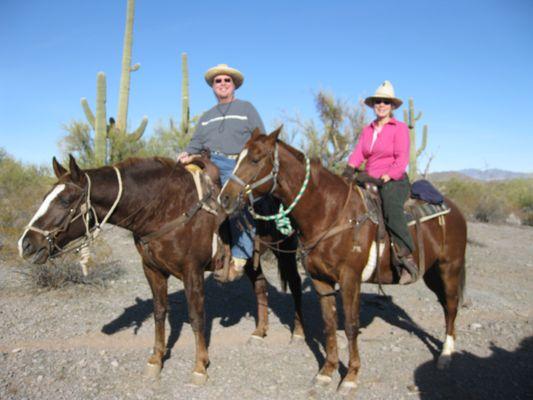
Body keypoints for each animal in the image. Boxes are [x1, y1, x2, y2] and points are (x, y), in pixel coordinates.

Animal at [18, 155, 302, 384]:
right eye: (45, 197)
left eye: (65, 199)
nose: (27, 244)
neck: (165, 208)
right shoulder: (152, 270)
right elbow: (159, 313)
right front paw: (156, 360)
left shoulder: (192, 272)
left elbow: (196, 318)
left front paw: (200, 367)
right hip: (254, 258)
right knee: (260, 285)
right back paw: (259, 331)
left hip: (286, 250)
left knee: (296, 285)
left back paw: (298, 333)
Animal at [217, 128, 466, 394]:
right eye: (237, 158)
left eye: (255, 159)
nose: (225, 198)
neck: (330, 213)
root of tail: (454, 208)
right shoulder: (321, 280)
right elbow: (328, 324)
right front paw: (327, 371)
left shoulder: (350, 280)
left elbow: (350, 326)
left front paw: (350, 376)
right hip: (431, 273)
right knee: (444, 305)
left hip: (450, 267)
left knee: (451, 305)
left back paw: (446, 354)